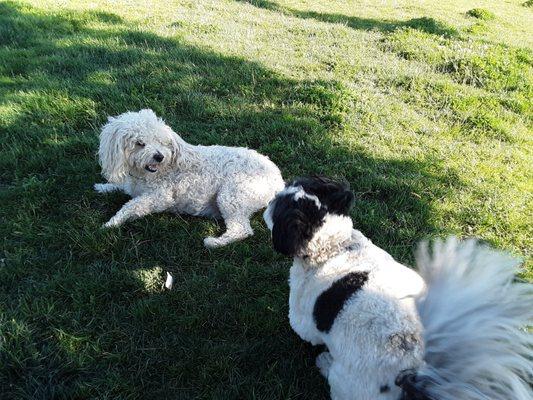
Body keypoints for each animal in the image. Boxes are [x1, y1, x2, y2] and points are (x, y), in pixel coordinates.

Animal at [95, 109, 286, 247]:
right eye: (140, 143)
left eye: (163, 143)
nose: (159, 156)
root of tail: (278, 180)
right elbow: (121, 186)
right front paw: (103, 187)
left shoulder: (160, 197)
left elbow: (131, 206)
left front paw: (110, 223)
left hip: (232, 196)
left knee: (241, 230)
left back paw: (214, 242)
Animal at [262, 177, 532, 400]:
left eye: (279, 207)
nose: (271, 197)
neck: (336, 246)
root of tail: (416, 369)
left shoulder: (303, 315)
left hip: (349, 382)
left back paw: (325, 363)